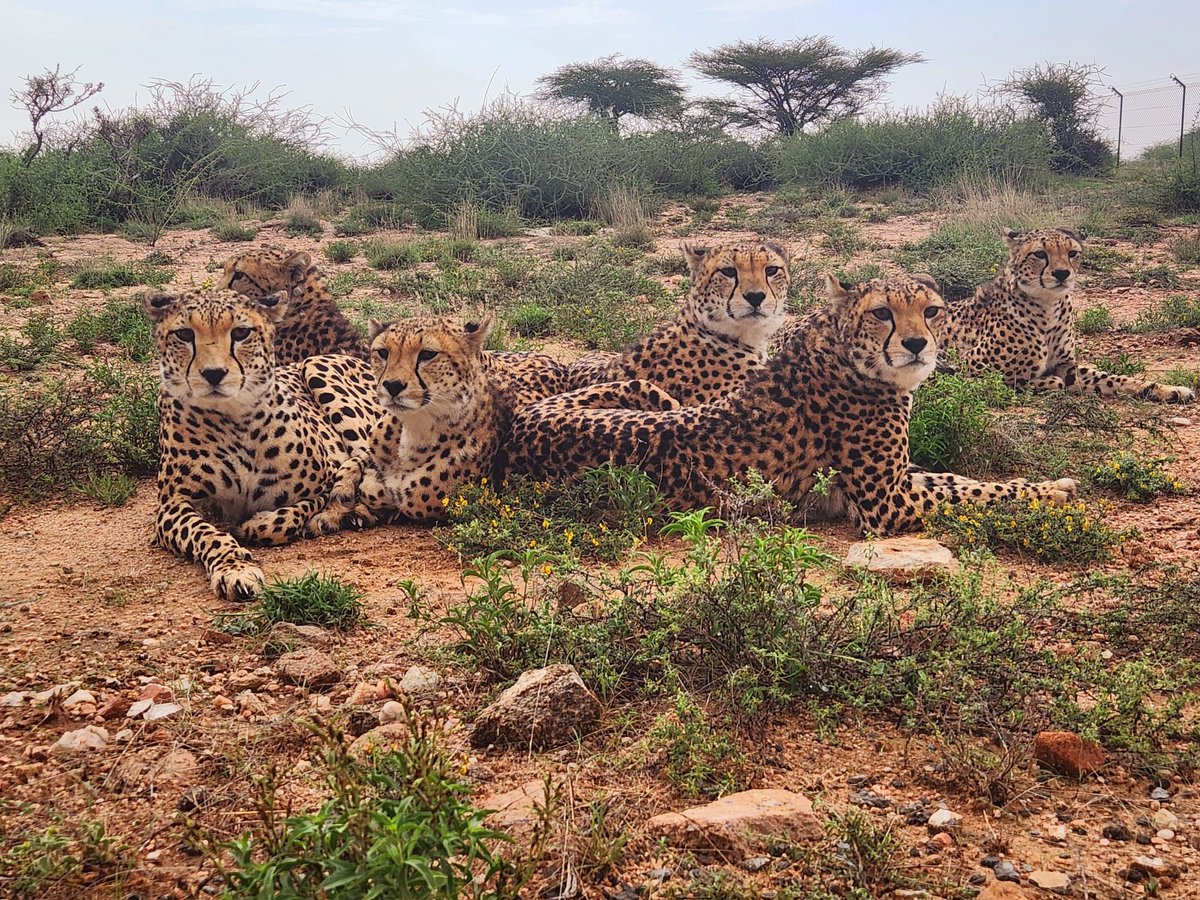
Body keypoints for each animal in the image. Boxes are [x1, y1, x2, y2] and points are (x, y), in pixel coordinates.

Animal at [147, 287, 379, 602]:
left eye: (241, 332)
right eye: (184, 334)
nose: (213, 373)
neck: (234, 418)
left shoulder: (324, 480)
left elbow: (293, 515)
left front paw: (257, 525)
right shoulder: (171, 505)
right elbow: (204, 532)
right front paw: (235, 569)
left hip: (315, 366)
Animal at [306, 315, 506, 535]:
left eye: (427, 354)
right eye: (383, 352)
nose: (393, 385)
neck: (415, 425)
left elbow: (401, 495)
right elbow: (358, 461)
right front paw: (339, 502)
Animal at [498, 274, 1077, 536]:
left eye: (932, 312)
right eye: (883, 314)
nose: (917, 345)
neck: (842, 351)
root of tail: (518, 425)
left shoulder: (898, 480)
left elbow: (961, 479)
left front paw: (1047, 483)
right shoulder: (884, 504)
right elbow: (977, 494)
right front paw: (1053, 495)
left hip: (644, 396)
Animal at [941, 228, 1194, 403]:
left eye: (1072, 253)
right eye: (1039, 254)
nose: (1062, 273)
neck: (1047, 307)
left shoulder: (1066, 365)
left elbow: (1113, 379)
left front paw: (1169, 390)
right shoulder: (969, 368)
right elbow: (1026, 379)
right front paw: (1046, 381)